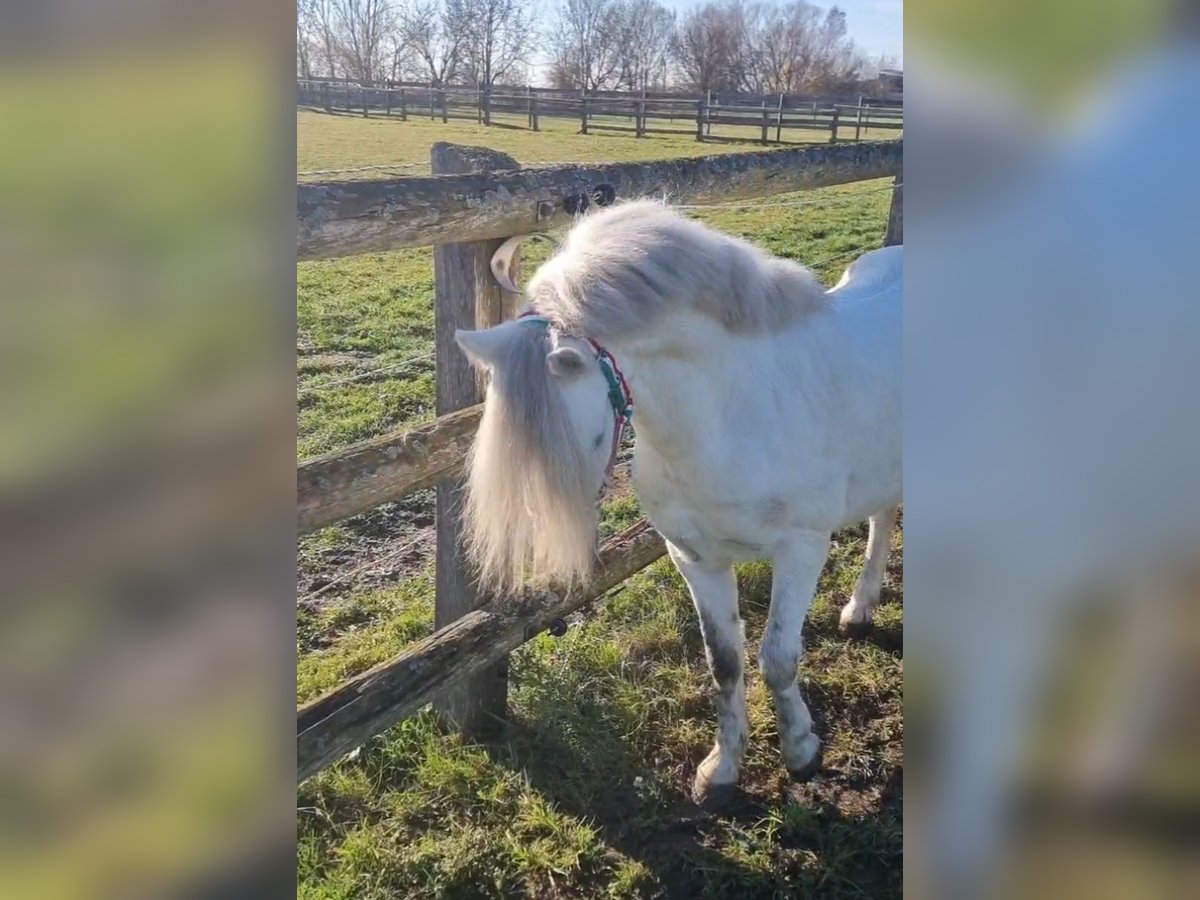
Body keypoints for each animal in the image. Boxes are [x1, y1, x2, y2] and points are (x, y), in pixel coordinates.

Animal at [454, 199, 902, 803]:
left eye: (583, 440)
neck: (730, 414)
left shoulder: (802, 549)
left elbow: (778, 659)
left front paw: (801, 750)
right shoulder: (694, 558)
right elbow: (725, 662)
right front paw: (721, 771)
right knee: (884, 516)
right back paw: (860, 610)